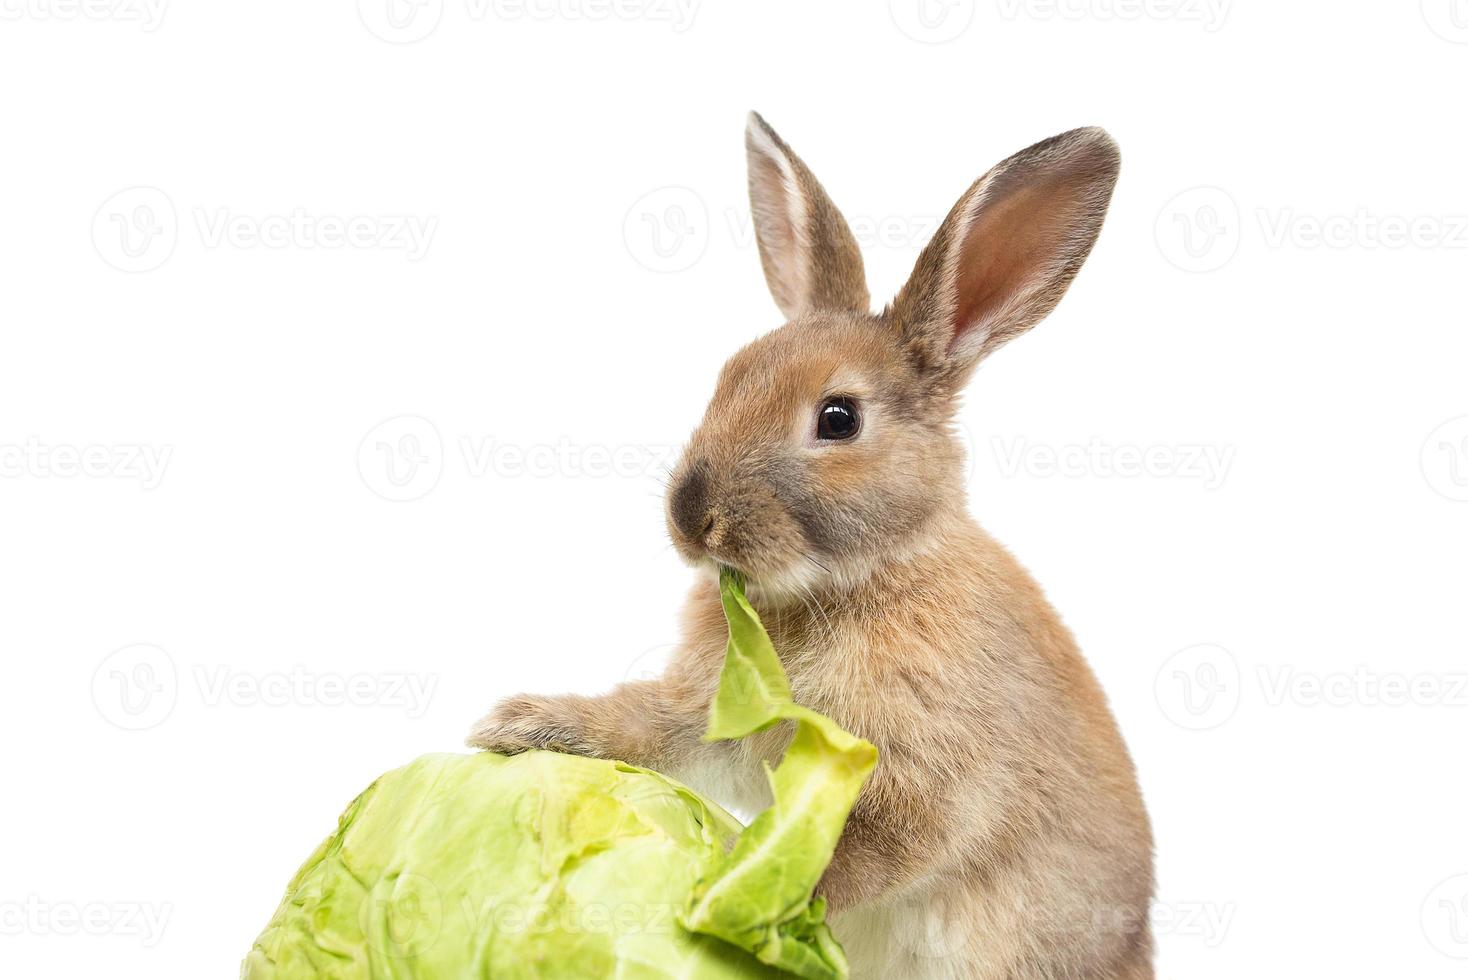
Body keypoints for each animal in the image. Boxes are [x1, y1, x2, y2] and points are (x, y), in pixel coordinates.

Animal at [475, 112, 1150, 979]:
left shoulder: (924, 780)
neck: (848, 581)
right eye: (727, 377)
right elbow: (647, 731)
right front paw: (520, 728)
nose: (691, 516)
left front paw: (734, 884)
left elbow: (859, 850)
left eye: (838, 419)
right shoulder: (715, 718)